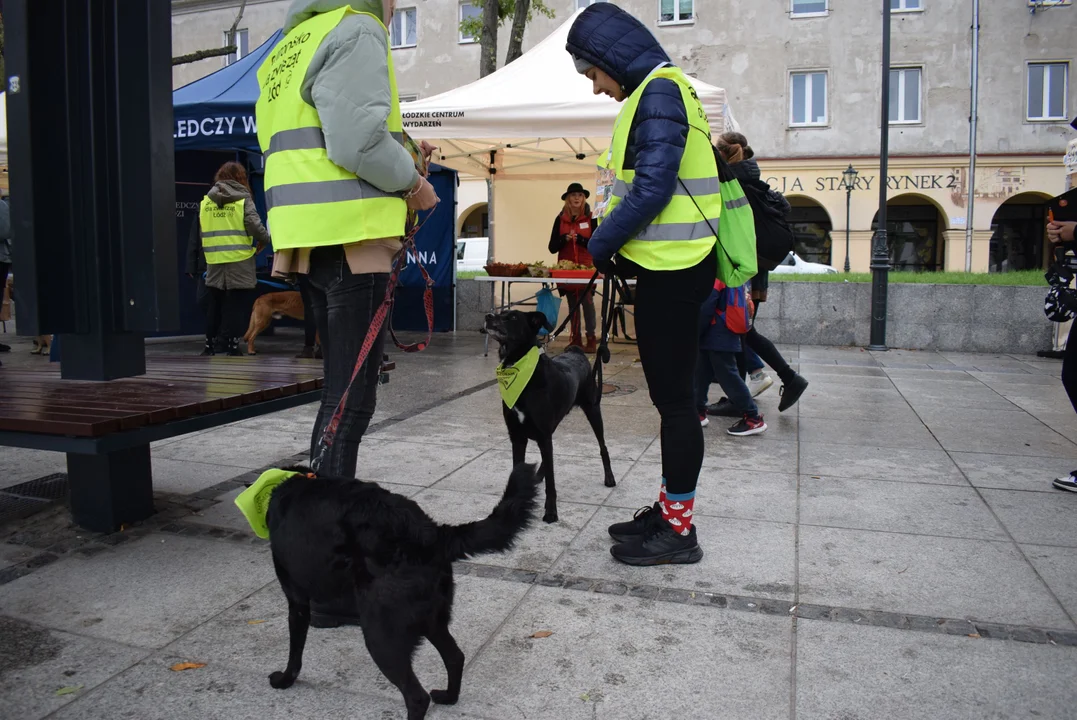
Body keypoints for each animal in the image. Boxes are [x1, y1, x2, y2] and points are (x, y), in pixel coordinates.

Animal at [261, 462, 538, 714]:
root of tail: (432, 534)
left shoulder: (297, 601)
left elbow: (295, 653)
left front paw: (285, 680)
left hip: (382, 635)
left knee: (417, 697)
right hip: (432, 620)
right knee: (455, 657)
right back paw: (448, 697)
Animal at [482, 309, 616, 523]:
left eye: (512, 317)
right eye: (501, 312)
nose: (488, 316)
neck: (520, 369)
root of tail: (576, 352)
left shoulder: (543, 435)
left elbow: (551, 483)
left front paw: (551, 512)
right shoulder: (517, 437)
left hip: (593, 409)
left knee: (602, 446)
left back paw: (609, 477)